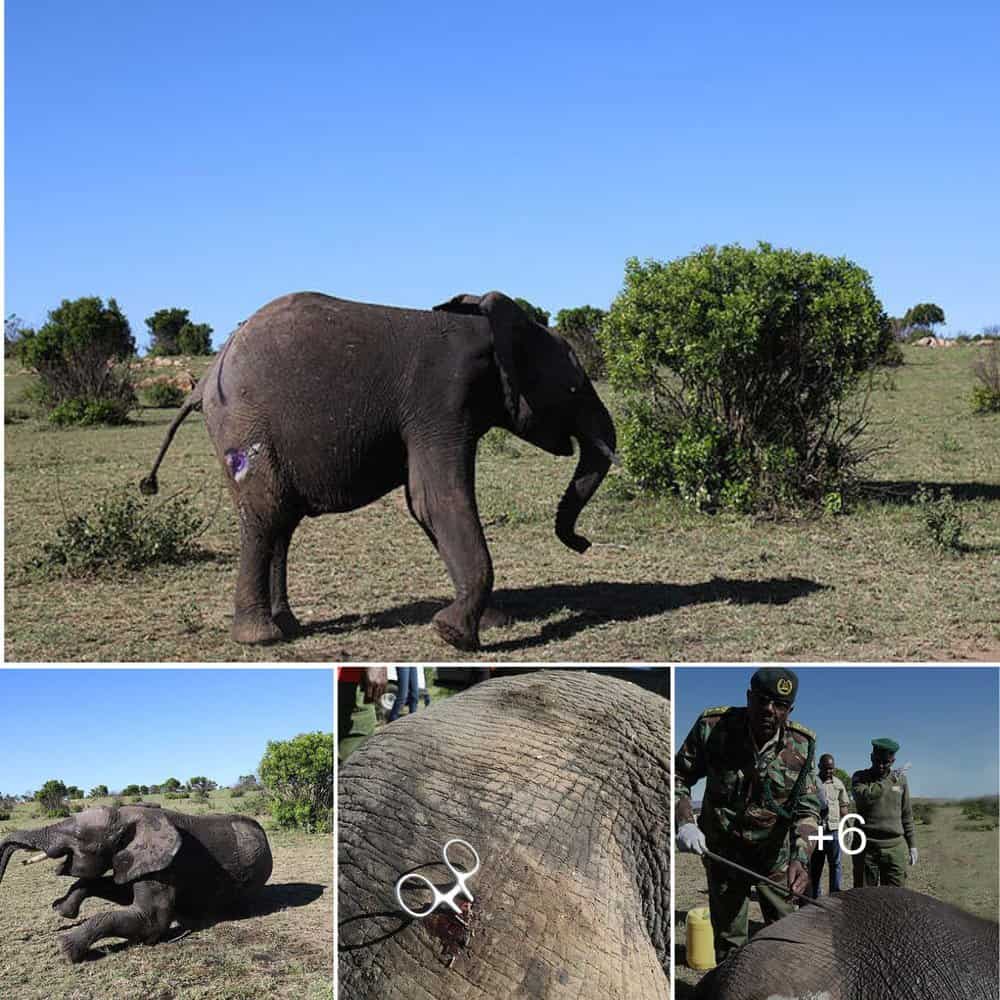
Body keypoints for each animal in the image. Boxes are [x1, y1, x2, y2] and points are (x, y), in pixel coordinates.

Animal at [0, 805, 272, 962]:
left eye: (77, 836)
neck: (129, 816)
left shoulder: (166, 863)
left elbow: (151, 921)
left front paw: (65, 947)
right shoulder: (136, 860)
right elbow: (119, 889)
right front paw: (62, 910)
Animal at [140, 291, 618, 649]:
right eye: (573, 387)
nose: (584, 543)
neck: (485, 328)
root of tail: (206, 378)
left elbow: (425, 505)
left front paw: (492, 622)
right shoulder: (440, 401)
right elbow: (436, 500)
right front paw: (454, 634)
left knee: (281, 523)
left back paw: (288, 626)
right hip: (245, 427)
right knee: (266, 514)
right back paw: (260, 638)